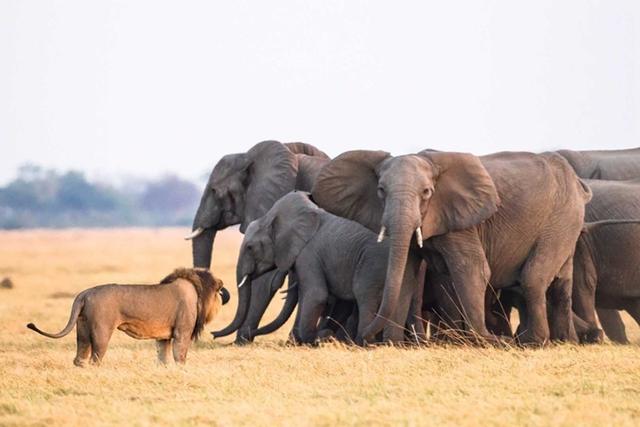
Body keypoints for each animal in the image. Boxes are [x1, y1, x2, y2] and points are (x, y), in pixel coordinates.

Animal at [26, 270, 229, 366]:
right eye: (218, 291)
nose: (223, 288)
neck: (197, 292)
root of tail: (84, 293)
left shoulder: (163, 337)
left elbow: (162, 357)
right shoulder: (182, 332)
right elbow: (180, 356)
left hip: (81, 329)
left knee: (80, 358)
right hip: (101, 330)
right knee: (95, 358)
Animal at [211, 192, 424, 346]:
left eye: (249, 247)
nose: (213, 334)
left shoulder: (308, 255)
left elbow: (316, 295)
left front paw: (318, 338)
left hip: (371, 264)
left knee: (365, 298)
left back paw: (362, 343)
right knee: (405, 301)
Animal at [310, 150, 592, 344]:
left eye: (426, 192)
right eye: (380, 190)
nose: (333, 337)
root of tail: (578, 184)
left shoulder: (463, 224)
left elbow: (473, 269)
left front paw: (483, 342)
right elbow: (405, 275)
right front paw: (393, 344)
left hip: (561, 217)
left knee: (533, 278)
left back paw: (534, 342)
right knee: (561, 283)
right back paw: (563, 342)